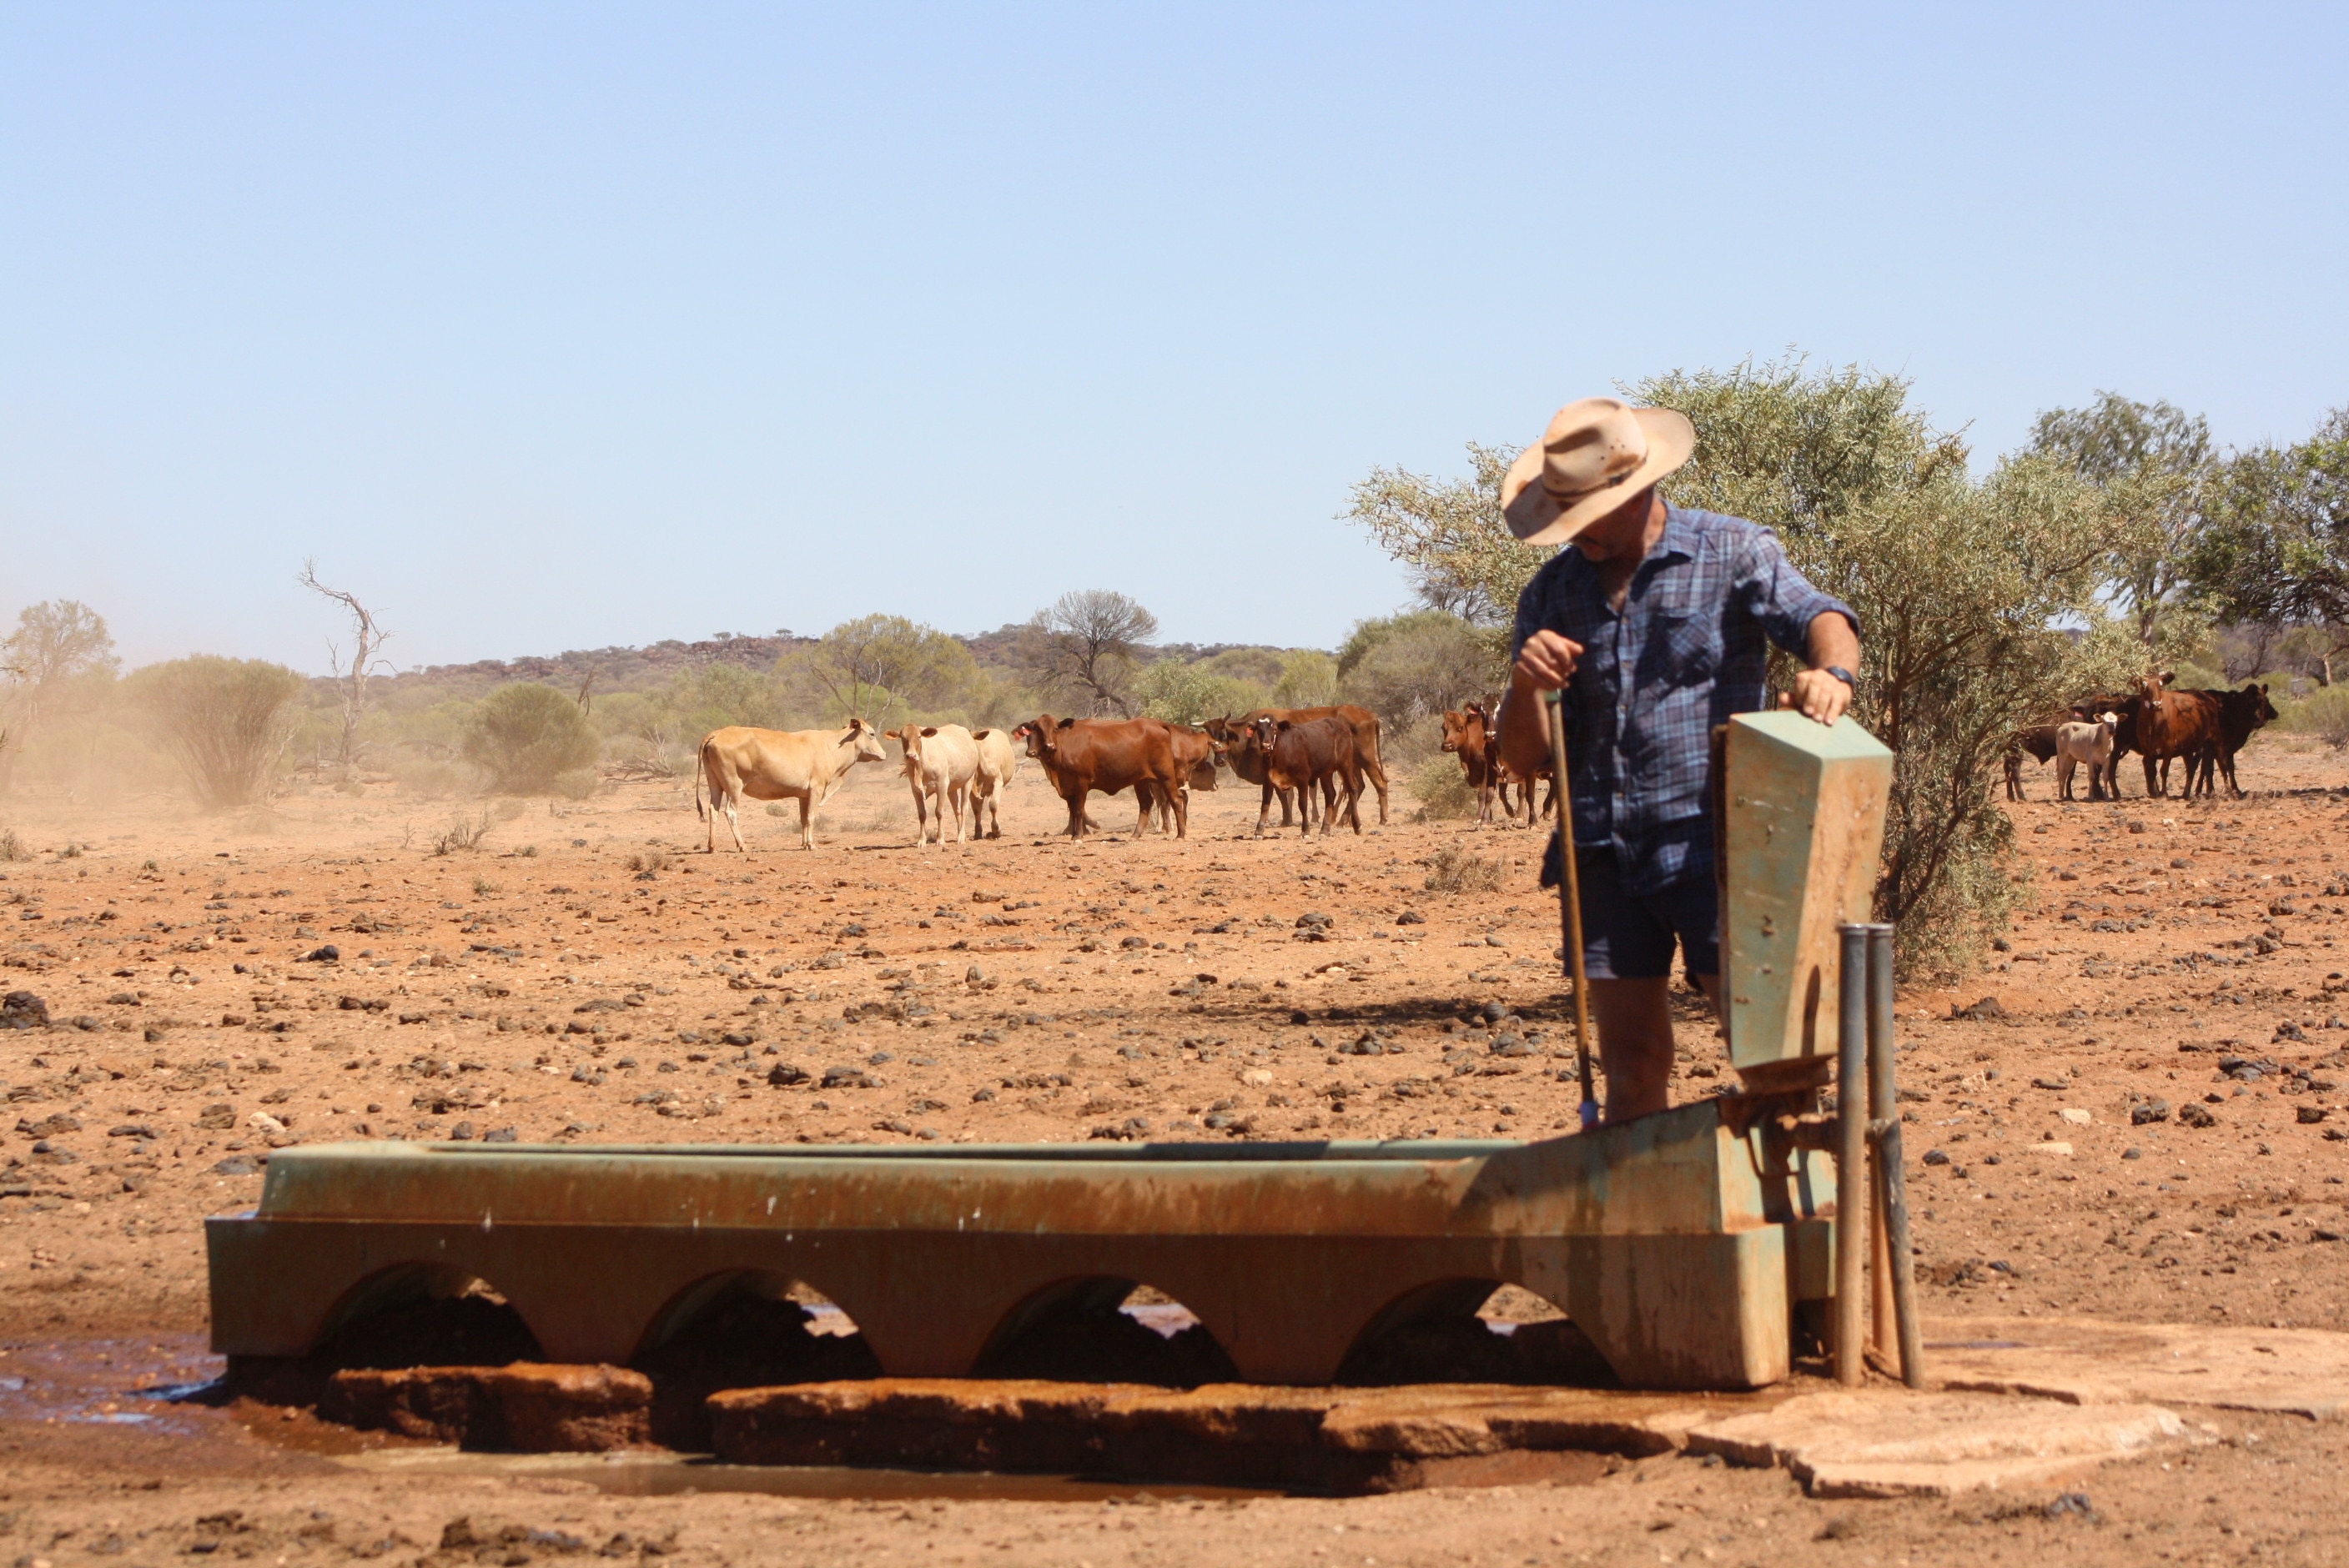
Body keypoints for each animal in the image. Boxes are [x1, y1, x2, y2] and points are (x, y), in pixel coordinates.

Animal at [696, 719, 888, 852]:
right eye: (872, 734)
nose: (884, 754)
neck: (830, 746)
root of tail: (717, 734)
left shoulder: (803, 795)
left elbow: (803, 819)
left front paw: (804, 844)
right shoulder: (817, 789)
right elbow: (811, 817)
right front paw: (811, 844)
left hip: (715, 784)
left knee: (713, 811)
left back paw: (712, 846)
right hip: (734, 786)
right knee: (730, 812)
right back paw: (742, 845)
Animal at [890, 723, 982, 845]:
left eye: (919, 737)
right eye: (903, 738)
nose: (911, 756)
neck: (922, 767)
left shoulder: (942, 786)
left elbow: (939, 812)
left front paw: (940, 839)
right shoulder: (915, 790)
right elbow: (922, 814)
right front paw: (921, 840)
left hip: (968, 781)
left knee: (964, 808)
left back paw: (961, 837)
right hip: (952, 789)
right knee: (956, 809)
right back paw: (959, 834)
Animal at [1010, 715, 1188, 840]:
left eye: (1055, 729)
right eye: (1038, 730)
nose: (1049, 746)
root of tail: (1157, 724)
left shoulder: (1081, 782)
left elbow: (1078, 809)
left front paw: (1078, 836)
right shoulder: (1068, 787)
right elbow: (1073, 809)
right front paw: (1075, 833)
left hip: (1165, 775)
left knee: (1176, 799)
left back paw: (1180, 834)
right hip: (1141, 780)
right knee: (1146, 803)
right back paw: (1136, 835)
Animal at [1254, 713, 1364, 838]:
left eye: (1274, 729)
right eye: (1259, 729)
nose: (1266, 746)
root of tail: (1342, 726)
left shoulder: (1303, 780)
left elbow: (1303, 804)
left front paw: (1305, 830)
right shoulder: (1268, 781)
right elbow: (1265, 805)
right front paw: (1259, 831)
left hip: (1345, 765)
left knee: (1352, 788)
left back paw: (1357, 826)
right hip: (1326, 772)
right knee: (1330, 794)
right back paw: (1325, 829)